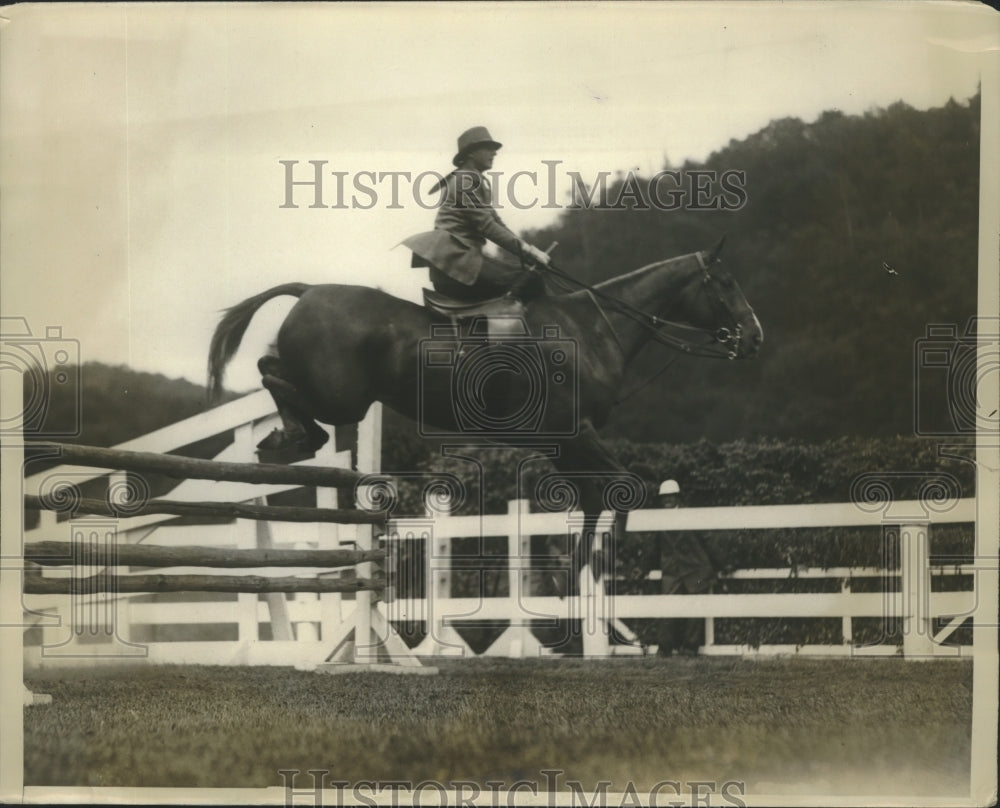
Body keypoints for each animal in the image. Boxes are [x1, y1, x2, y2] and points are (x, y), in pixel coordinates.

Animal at [207, 240, 760, 600]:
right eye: (727, 283)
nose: (754, 337)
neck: (594, 330)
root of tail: (309, 291)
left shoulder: (568, 444)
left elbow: (592, 500)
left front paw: (573, 579)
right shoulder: (578, 434)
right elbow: (623, 488)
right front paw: (601, 568)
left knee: (273, 371)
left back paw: (288, 435)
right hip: (341, 398)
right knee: (273, 374)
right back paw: (293, 435)